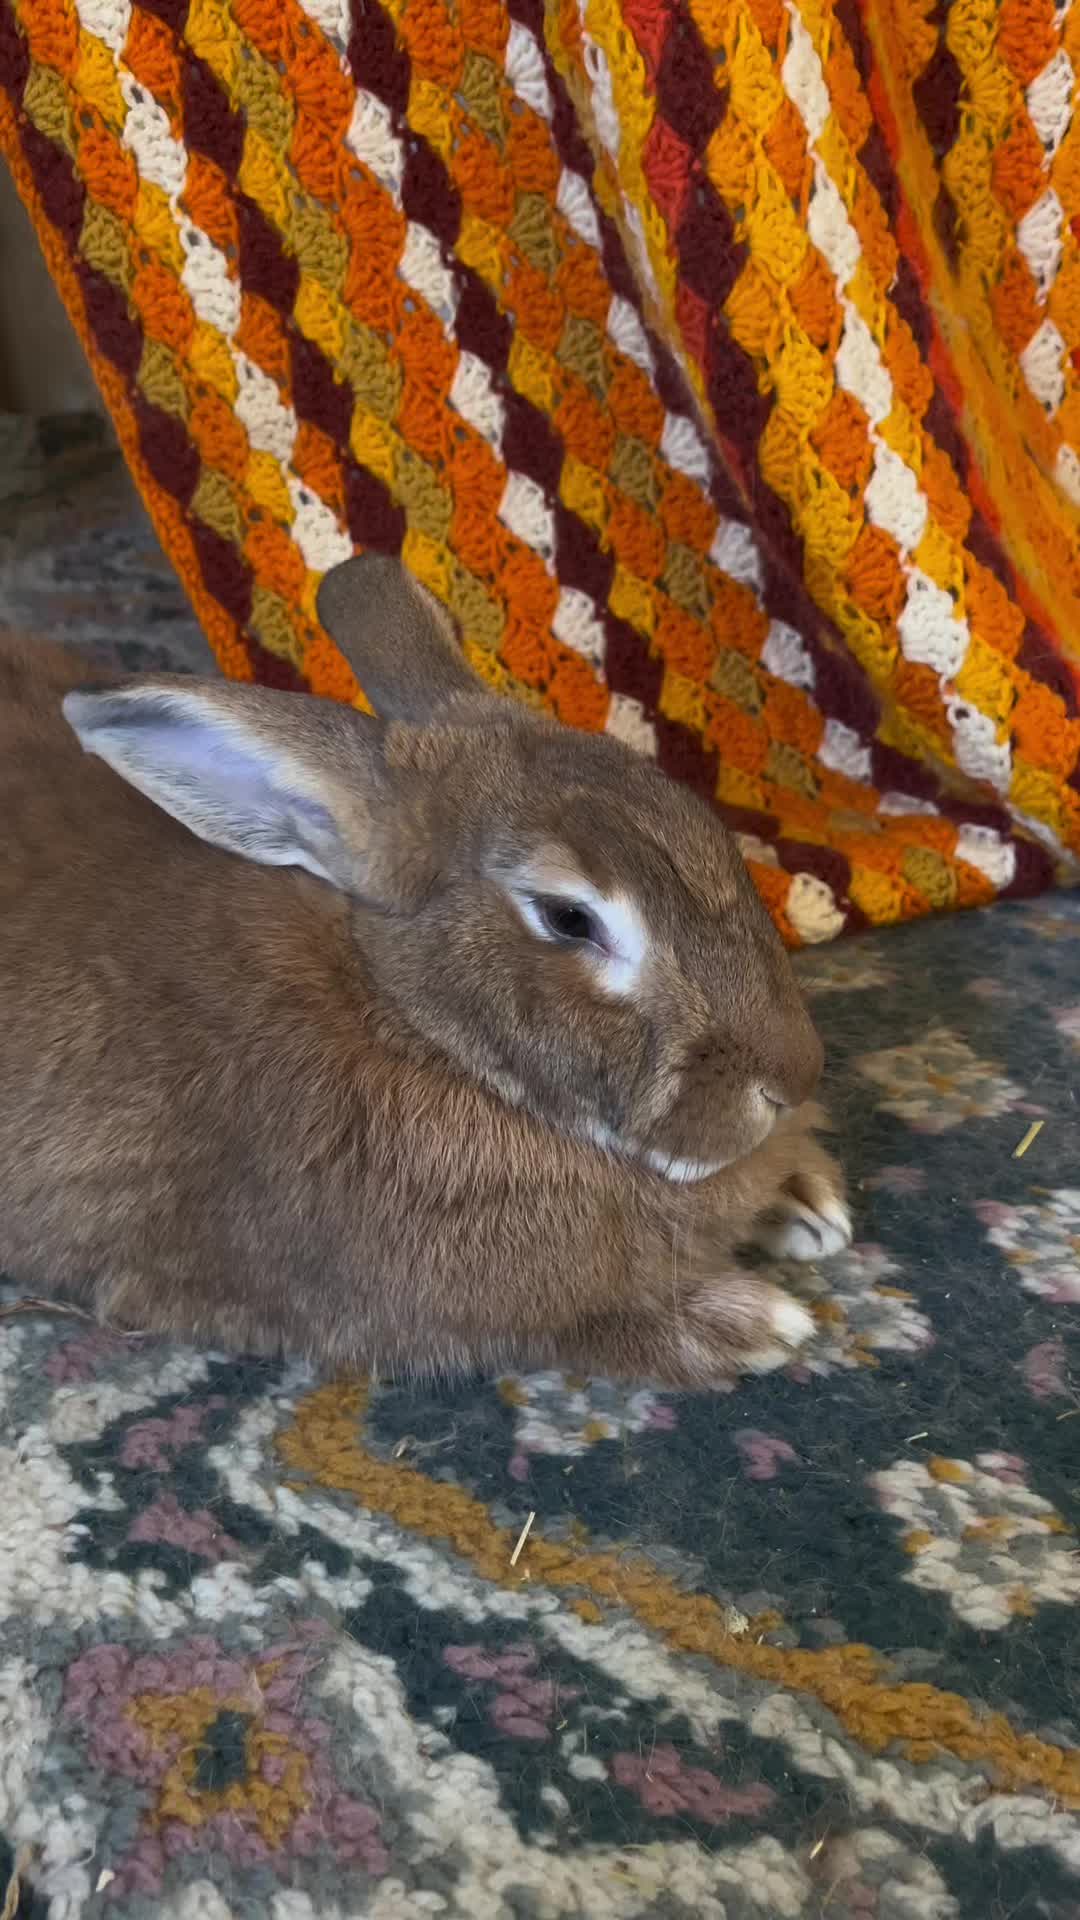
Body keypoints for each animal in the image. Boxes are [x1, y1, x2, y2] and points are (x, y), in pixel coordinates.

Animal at [0, 554, 851, 1387]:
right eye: (569, 919)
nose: (794, 1079)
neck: (404, 1020)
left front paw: (808, 1201)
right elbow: (551, 1329)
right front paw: (746, 1325)